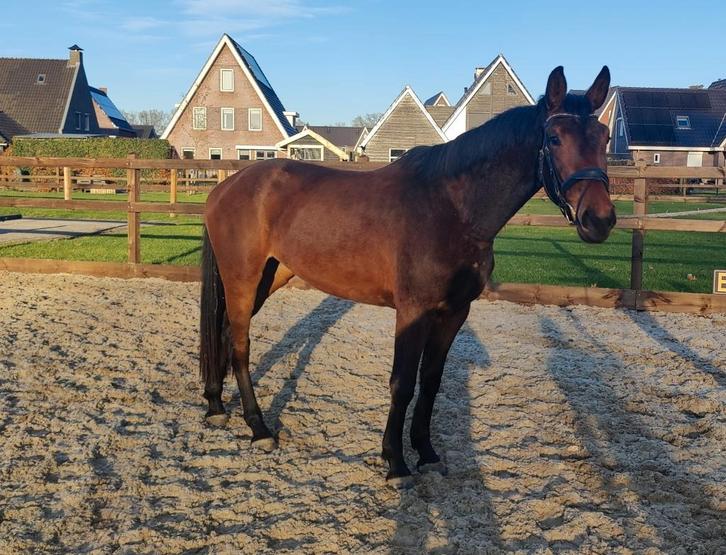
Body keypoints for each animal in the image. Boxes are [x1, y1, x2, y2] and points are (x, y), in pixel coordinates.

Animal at [199, 65, 615, 485]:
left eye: (605, 138)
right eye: (555, 138)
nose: (599, 220)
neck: (452, 209)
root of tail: (225, 188)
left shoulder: (454, 312)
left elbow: (430, 381)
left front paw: (426, 453)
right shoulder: (413, 311)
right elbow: (401, 383)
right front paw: (395, 461)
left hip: (268, 278)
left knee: (223, 333)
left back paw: (216, 405)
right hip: (242, 278)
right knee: (240, 345)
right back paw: (259, 428)